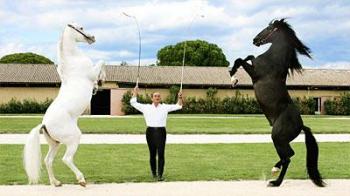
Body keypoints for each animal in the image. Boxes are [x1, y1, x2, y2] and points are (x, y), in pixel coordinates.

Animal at [23, 22, 105, 186]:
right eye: (81, 28)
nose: (93, 38)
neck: (73, 60)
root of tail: (44, 124)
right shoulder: (91, 73)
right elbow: (101, 61)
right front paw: (102, 78)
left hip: (55, 143)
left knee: (48, 160)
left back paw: (56, 182)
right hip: (73, 139)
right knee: (66, 159)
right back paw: (81, 179)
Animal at [230, 18, 326, 187]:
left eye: (269, 28)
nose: (255, 40)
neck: (273, 60)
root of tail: (301, 125)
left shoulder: (255, 73)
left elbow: (241, 59)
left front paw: (233, 76)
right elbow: (249, 56)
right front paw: (233, 76)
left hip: (278, 138)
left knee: (288, 157)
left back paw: (275, 180)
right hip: (281, 140)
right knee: (289, 155)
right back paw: (275, 171)